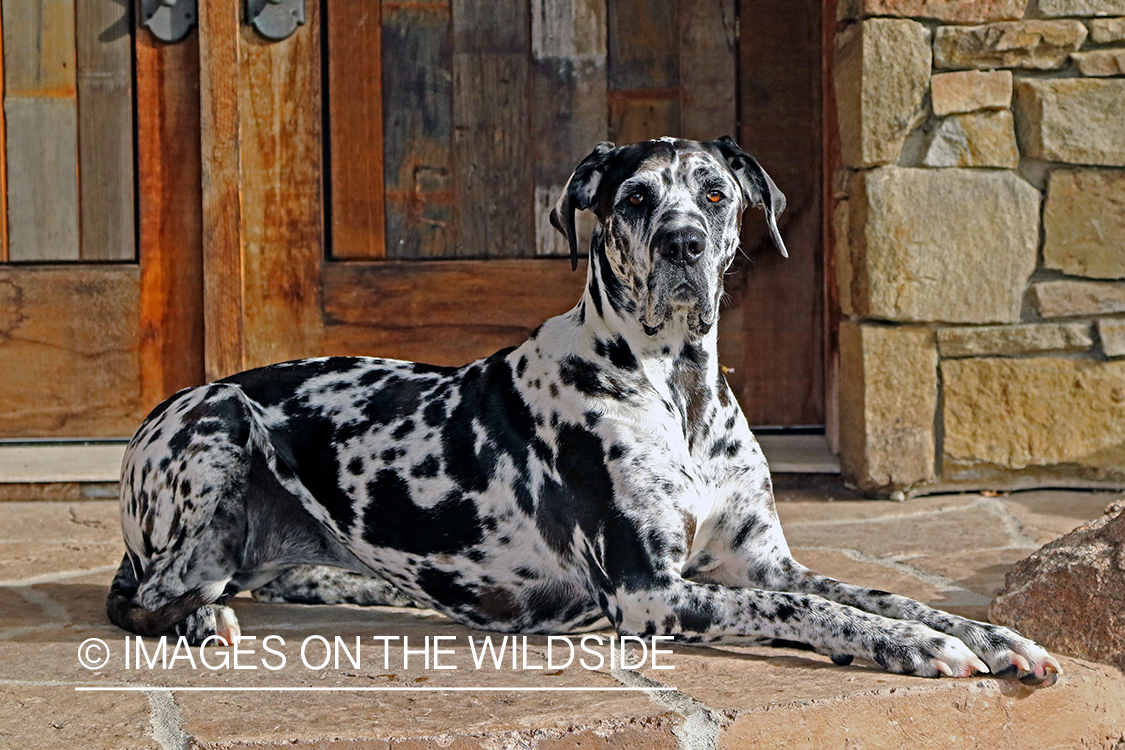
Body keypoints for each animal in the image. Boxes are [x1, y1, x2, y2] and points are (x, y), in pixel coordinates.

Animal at [103, 134, 1053, 688]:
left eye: (714, 193)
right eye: (635, 198)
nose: (683, 244)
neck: (677, 392)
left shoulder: (763, 564)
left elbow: (881, 592)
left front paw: (988, 634)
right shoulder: (649, 592)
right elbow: (814, 613)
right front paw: (915, 648)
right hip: (219, 423)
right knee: (151, 595)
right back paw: (202, 619)